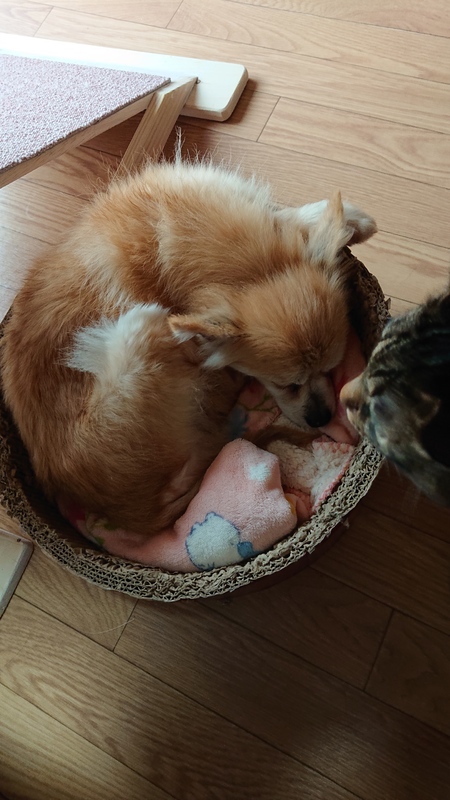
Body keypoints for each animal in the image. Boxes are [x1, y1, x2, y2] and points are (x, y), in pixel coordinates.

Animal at [1, 156, 377, 535]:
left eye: (332, 368)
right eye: (286, 384)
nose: (322, 417)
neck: (252, 269)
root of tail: (138, 513)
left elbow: (286, 215)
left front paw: (353, 220)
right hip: (141, 323)